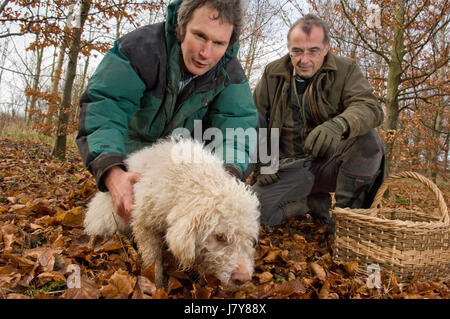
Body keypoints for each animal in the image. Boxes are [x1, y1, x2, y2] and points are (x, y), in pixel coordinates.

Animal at [84, 139, 260, 288]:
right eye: (220, 237)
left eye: (251, 240)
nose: (242, 278)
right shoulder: (144, 223)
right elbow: (153, 260)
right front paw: (157, 285)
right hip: (107, 217)